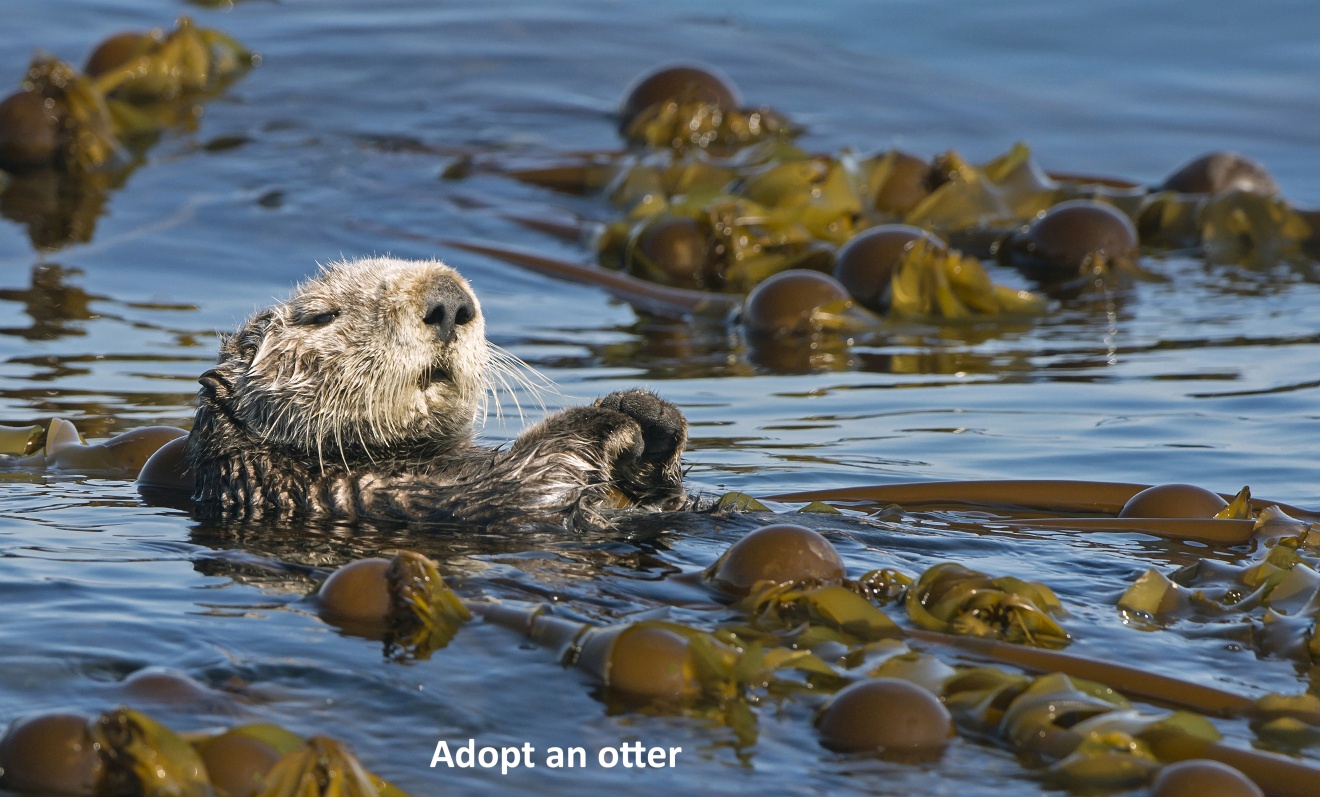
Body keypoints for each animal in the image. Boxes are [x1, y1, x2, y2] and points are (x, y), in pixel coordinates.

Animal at [183, 256, 688, 528]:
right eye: (321, 315)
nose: (448, 301)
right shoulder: (382, 496)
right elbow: (532, 480)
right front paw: (609, 421)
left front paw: (647, 412)